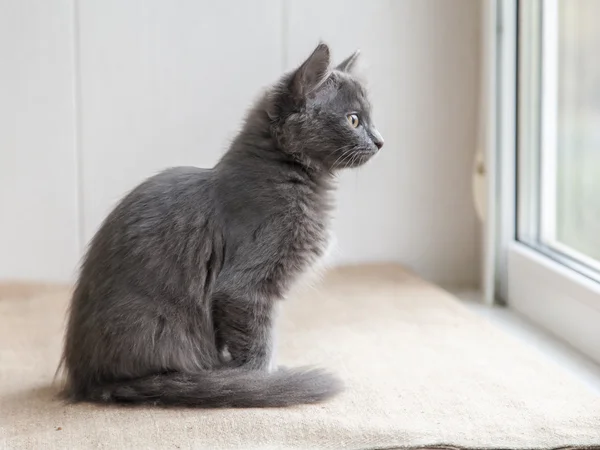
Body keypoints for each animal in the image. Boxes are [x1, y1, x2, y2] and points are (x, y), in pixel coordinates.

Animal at [61, 43, 384, 408]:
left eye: (371, 119)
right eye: (353, 119)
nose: (381, 140)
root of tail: (88, 381)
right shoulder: (245, 288)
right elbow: (258, 345)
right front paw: (260, 383)